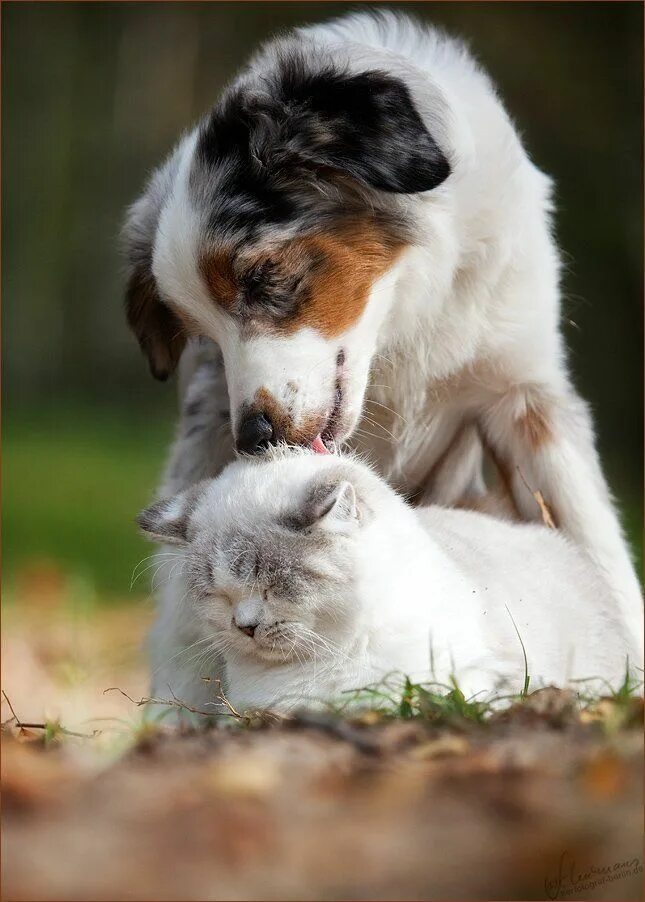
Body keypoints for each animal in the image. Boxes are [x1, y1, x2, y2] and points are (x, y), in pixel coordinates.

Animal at [124, 10, 640, 644]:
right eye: (204, 336)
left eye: (263, 277)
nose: (257, 438)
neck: (402, 325)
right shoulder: (210, 425)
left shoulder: (524, 391)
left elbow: (597, 544)